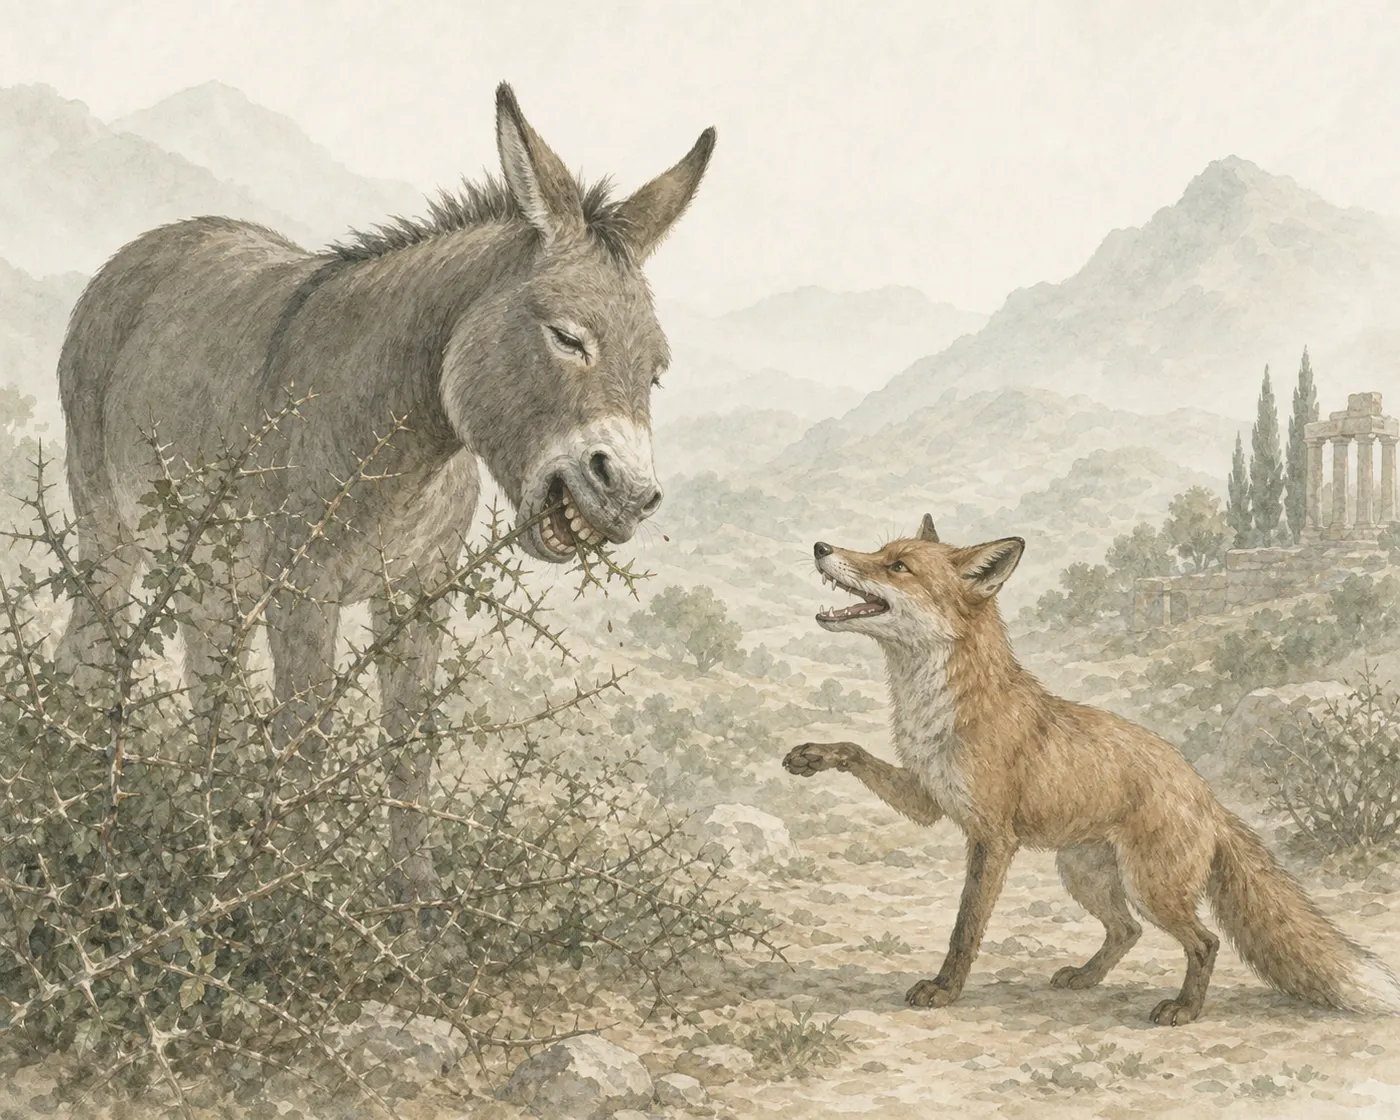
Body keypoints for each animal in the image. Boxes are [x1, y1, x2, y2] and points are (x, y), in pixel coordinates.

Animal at [783, 515, 1400, 1025]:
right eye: (879, 551)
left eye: (897, 566)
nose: (819, 546)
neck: (938, 708)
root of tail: (1206, 793)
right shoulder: (927, 799)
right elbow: (855, 751)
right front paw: (811, 756)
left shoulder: (992, 837)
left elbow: (966, 928)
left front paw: (945, 990)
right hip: (1083, 874)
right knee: (1127, 930)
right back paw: (1085, 978)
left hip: (1152, 887)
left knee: (1204, 942)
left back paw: (1184, 1009)